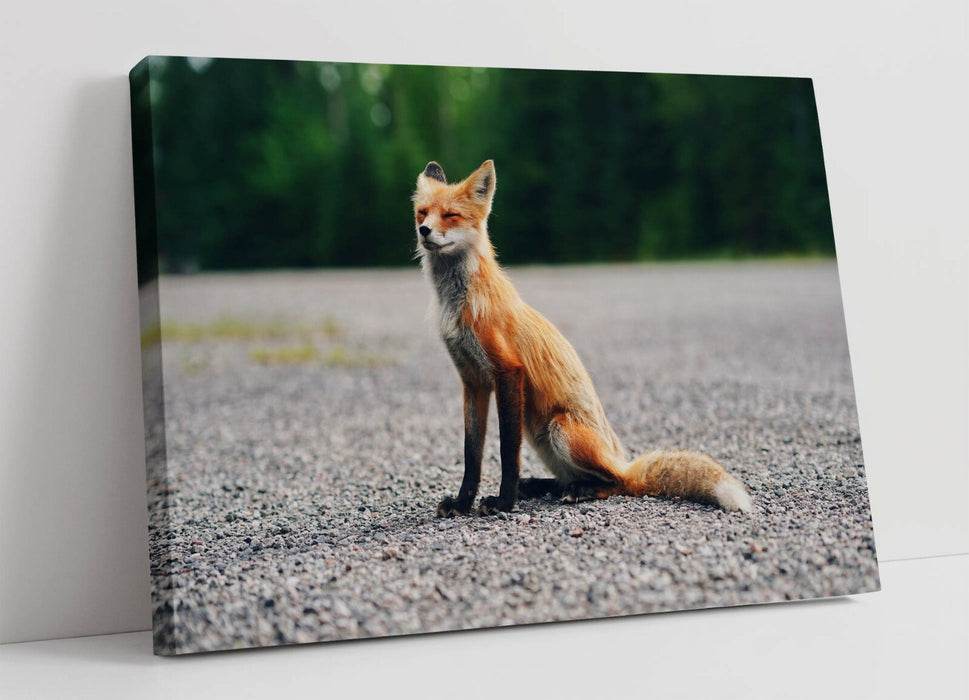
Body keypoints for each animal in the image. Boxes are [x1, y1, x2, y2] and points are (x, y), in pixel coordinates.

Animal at [413, 159, 752, 517]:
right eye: (422, 213)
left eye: (450, 215)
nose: (424, 231)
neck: (458, 304)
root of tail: (623, 460)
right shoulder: (473, 380)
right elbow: (471, 453)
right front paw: (463, 502)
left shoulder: (508, 372)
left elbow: (506, 451)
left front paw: (504, 502)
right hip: (537, 433)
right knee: (568, 478)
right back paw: (540, 486)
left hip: (559, 429)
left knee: (619, 483)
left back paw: (579, 490)